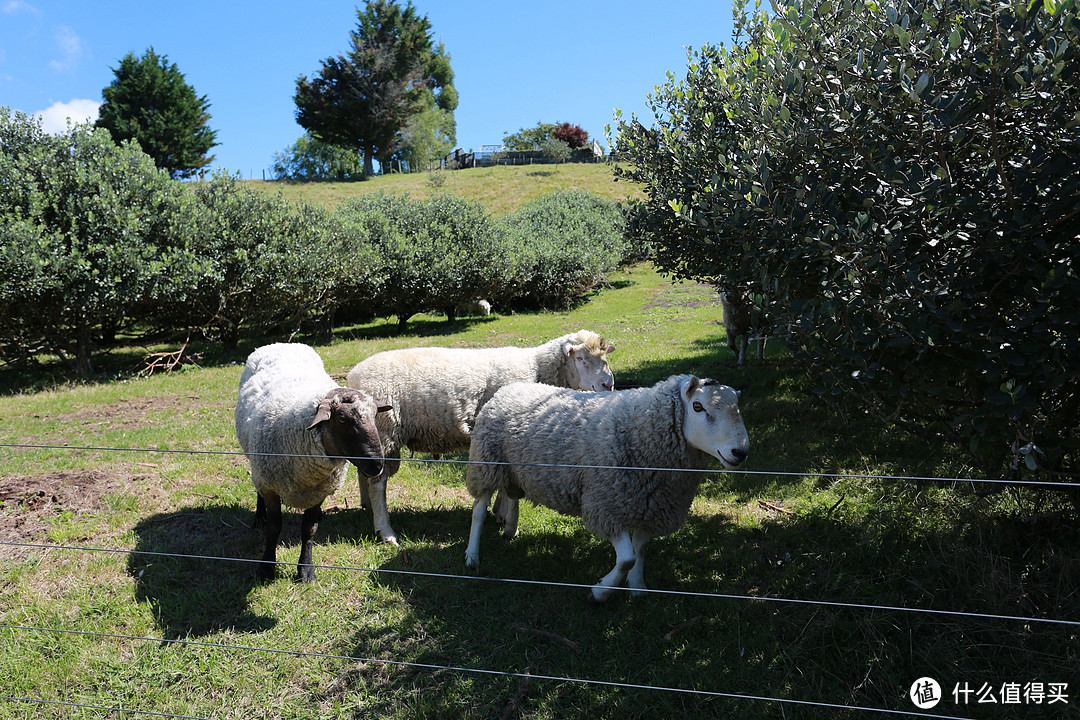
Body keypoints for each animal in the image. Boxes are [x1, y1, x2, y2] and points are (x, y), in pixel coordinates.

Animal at [236, 341, 393, 582]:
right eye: (341, 418)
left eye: (375, 415)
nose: (377, 466)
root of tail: (281, 343)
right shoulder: (270, 485)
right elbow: (274, 527)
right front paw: (266, 568)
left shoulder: (319, 490)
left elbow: (309, 529)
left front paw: (305, 570)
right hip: (257, 464)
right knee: (257, 488)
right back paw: (259, 516)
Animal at [345, 332, 617, 546]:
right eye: (580, 359)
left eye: (604, 358)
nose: (609, 385)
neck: (536, 367)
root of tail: (353, 375)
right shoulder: (506, 433)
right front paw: (506, 518)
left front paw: (498, 513)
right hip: (386, 431)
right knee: (378, 484)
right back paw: (386, 531)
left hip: (373, 433)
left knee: (365, 471)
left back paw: (366, 505)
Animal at [464, 375, 751, 604]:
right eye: (698, 406)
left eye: (737, 408)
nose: (740, 452)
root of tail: (509, 388)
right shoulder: (607, 505)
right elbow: (626, 558)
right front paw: (601, 591)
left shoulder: (652, 505)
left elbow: (640, 550)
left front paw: (637, 586)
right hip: (486, 463)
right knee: (478, 510)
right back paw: (472, 556)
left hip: (512, 467)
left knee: (511, 494)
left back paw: (510, 527)